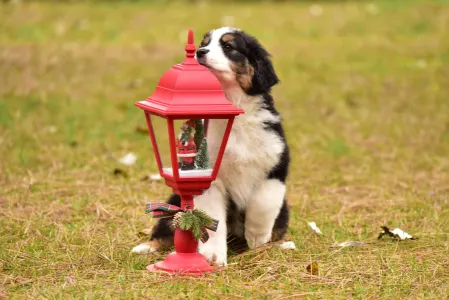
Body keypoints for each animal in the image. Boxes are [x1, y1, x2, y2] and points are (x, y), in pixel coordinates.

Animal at [131, 27, 288, 268]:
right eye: (204, 43)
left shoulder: (274, 165)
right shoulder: (209, 179)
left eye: (228, 46)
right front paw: (212, 258)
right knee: (165, 229)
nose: (200, 52)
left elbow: (262, 207)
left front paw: (258, 243)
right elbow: (212, 221)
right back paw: (146, 247)